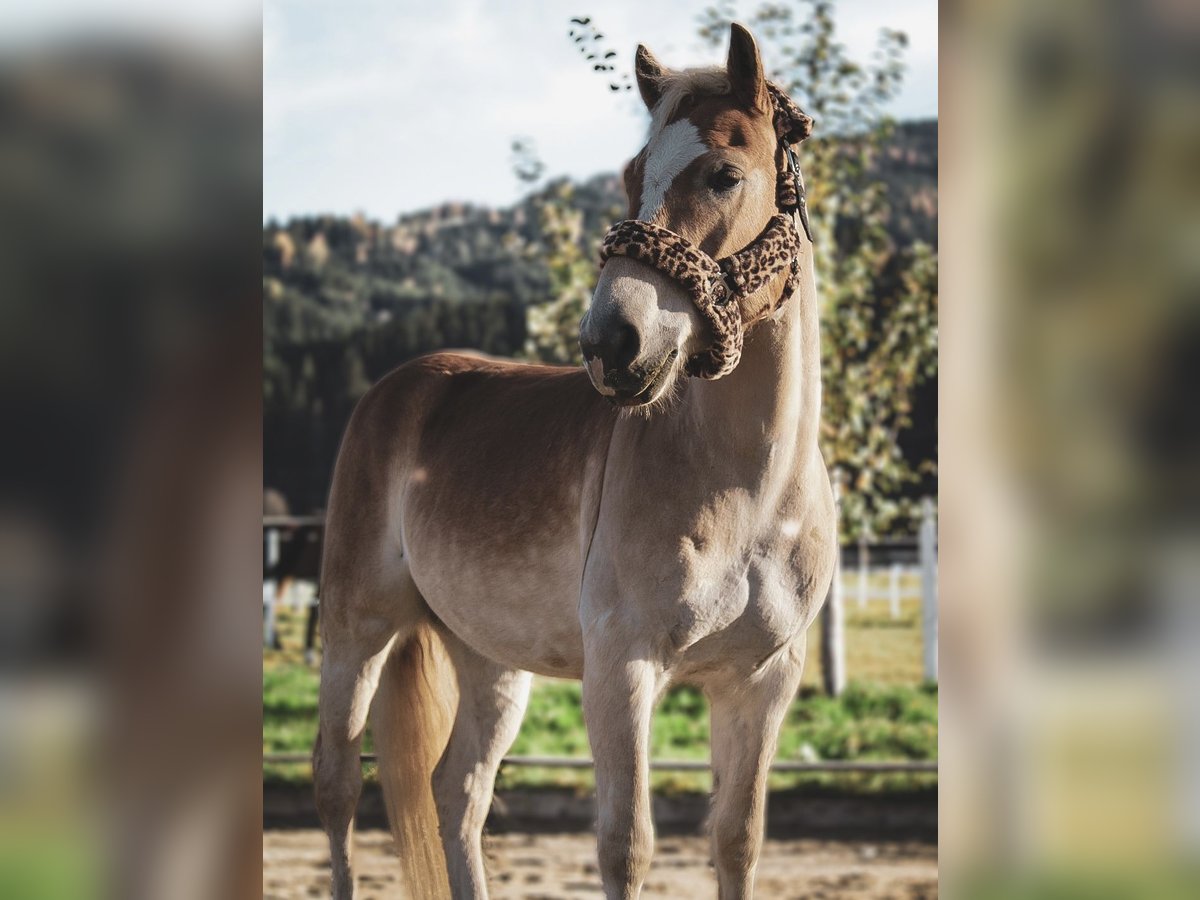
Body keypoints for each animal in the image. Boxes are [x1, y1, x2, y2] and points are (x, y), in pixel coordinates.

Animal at [309, 24, 835, 900]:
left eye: (725, 174)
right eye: (630, 175)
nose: (611, 343)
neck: (749, 493)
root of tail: (398, 388)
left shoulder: (763, 681)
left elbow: (737, 840)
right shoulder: (624, 668)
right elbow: (627, 846)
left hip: (489, 657)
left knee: (456, 791)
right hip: (359, 629)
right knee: (340, 786)